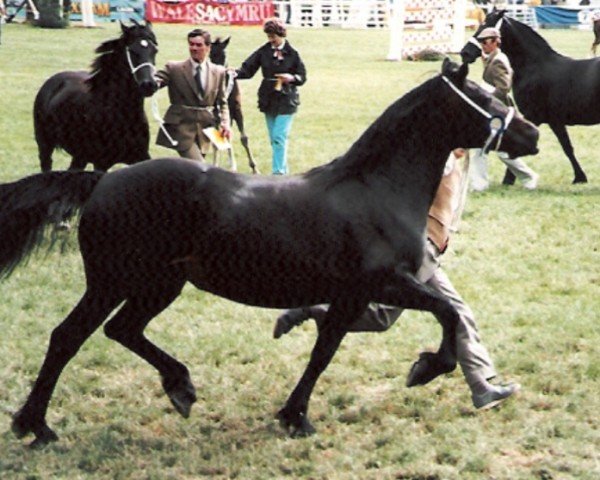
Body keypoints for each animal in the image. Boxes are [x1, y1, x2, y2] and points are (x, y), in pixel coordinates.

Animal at [0, 60, 540, 446]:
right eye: (485, 97)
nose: (532, 134)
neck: (375, 189)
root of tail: (103, 180)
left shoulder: (351, 295)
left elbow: (324, 350)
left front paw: (293, 415)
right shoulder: (384, 283)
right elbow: (447, 313)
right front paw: (425, 369)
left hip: (160, 285)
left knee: (121, 330)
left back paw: (179, 387)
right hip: (115, 281)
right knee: (68, 337)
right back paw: (37, 426)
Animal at [33, 22, 157, 173]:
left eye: (154, 50)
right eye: (132, 51)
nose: (149, 85)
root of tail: (51, 81)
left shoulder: (141, 156)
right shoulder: (101, 163)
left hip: (80, 156)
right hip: (44, 143)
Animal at [210, 36, 258, 174]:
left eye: (224, 54)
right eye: (211, 54)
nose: (220, 74)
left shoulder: (237, 109)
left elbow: (244, 138)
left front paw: (254, 169)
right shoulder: (216, 113)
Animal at [460, 9, 596, 186]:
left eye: (486, 25)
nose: (465, 53)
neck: (534, 66)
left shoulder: (537, 117)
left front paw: (509, 180)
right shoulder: (553, 120)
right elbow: (567, 147)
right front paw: (580, 177)